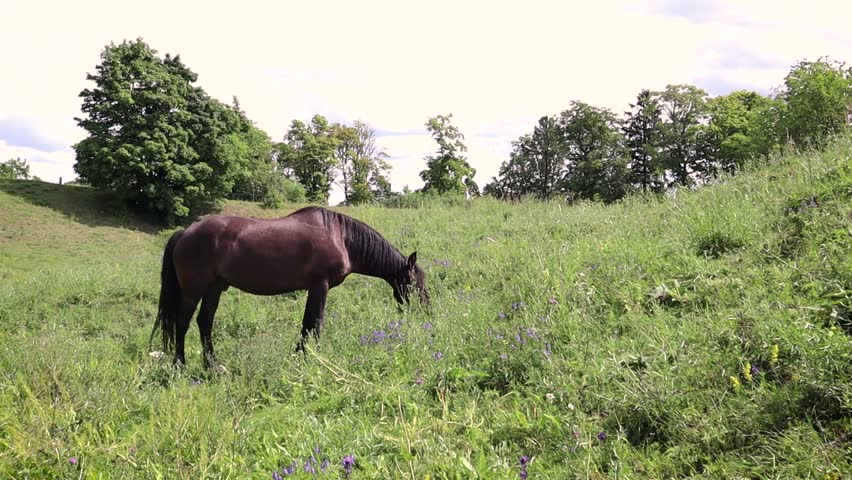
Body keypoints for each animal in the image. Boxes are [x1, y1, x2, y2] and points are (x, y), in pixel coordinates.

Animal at [150, 206, 430, 369]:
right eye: (416, 283)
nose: (426, 311)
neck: (341, 237)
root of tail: (185, 232)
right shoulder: (320, 286)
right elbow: (314, 323)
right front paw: (310, 358)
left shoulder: (314, 288)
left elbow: (308, 324)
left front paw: (300, 355)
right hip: (193, 289)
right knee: (182, 322)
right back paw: (180, 364)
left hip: (214, 288)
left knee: (204, 322)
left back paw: (212, 365)